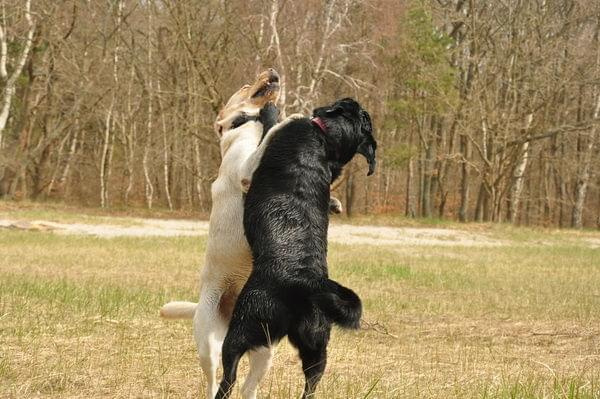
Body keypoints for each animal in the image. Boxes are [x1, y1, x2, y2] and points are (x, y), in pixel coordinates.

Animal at [214, 97, 376, 399]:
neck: (323, 139)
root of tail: (306, 285)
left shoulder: (257, 156)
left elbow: (269, 125)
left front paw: (269, 111)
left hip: (241, 326)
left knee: (228, 378)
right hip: (316, 344)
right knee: (312, 382)